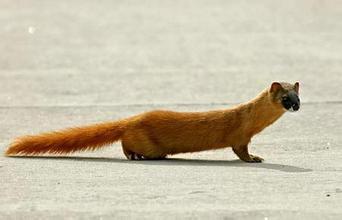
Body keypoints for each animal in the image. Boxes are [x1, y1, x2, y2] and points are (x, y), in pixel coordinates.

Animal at [4, 81, 300, 162]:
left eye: (299, 95)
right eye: (285, 97)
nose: (296, 106)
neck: (252, 119)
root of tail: (133, 118)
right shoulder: (240, 136)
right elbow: (241, 151)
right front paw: (255, 158)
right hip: (143, 140)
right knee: (125, 143)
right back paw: (135, 155)